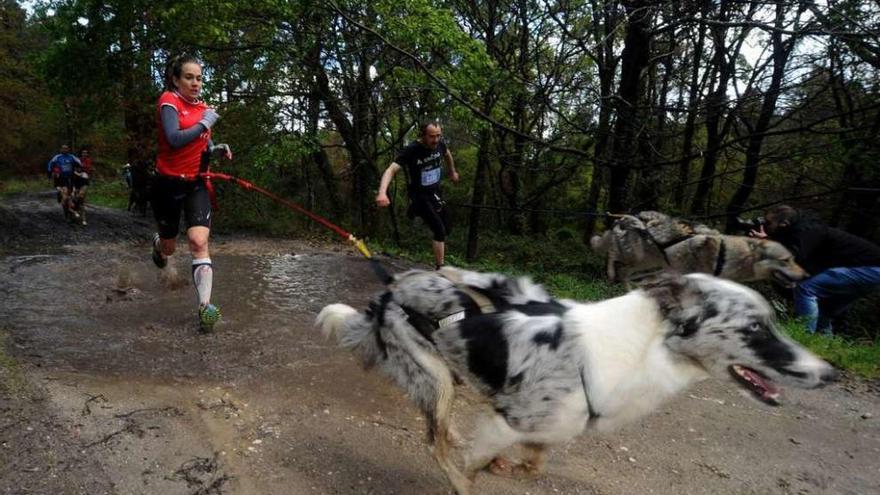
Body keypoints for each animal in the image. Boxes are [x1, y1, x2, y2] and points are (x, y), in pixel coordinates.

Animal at [316, 270, 840, 494]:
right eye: (755, 328)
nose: (830, 373)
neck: (642, 350)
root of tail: (386, 293)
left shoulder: (541, 425)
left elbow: (534, 462)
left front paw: (510, 468)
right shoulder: (507, 422)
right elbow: (471, 464)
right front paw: (476, 473)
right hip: (436, 378)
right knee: (434, 441)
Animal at [588, 210, 808, 286]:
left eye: (794, 259)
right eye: (786, 260)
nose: (806, 275)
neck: (725, 256)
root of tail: (624, 217)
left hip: (646, 261)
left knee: (623, 270)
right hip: (637, 257)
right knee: (612, 256)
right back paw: (611, 276)